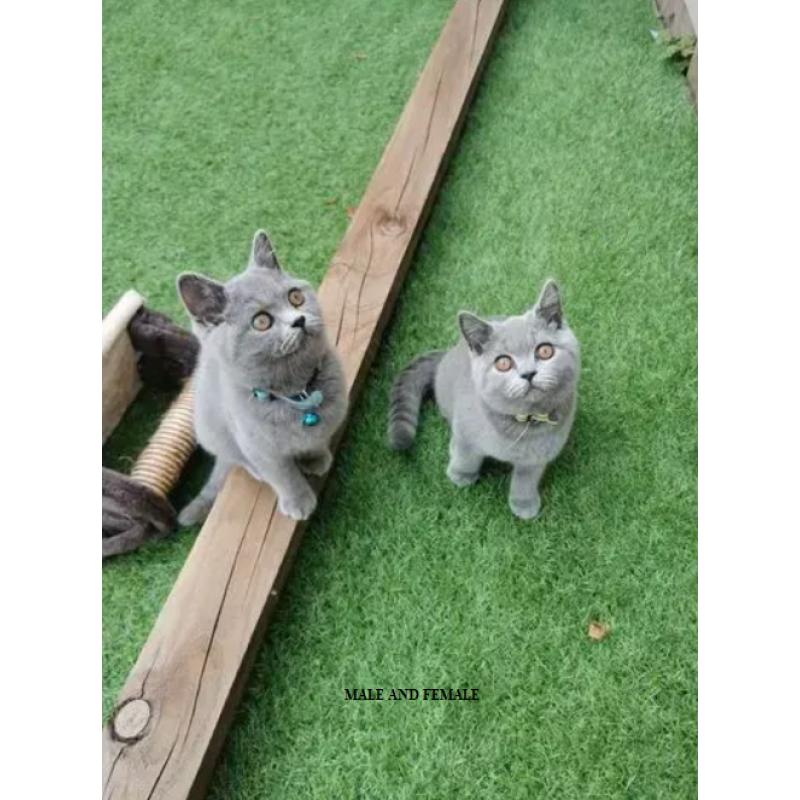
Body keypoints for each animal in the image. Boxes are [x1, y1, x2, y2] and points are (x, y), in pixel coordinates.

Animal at [177, 230, 346, 524]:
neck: (297, 392)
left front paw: (316, 459)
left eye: (296, 297)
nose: (299, 320)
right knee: (236, 458)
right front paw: (298, 501)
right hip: (211, 432)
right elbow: (283, 475)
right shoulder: (259, 447)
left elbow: (317, 440)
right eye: (262, 321)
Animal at [386, 282, 580, 520]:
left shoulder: (538, 457)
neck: (523, 425)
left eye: (545, 351)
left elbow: (525, 480)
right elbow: (466, 455)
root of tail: (446, 355)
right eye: (503, 363)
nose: (528, 374)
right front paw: (460, 476)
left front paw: (524, 504)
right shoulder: (465, 428)